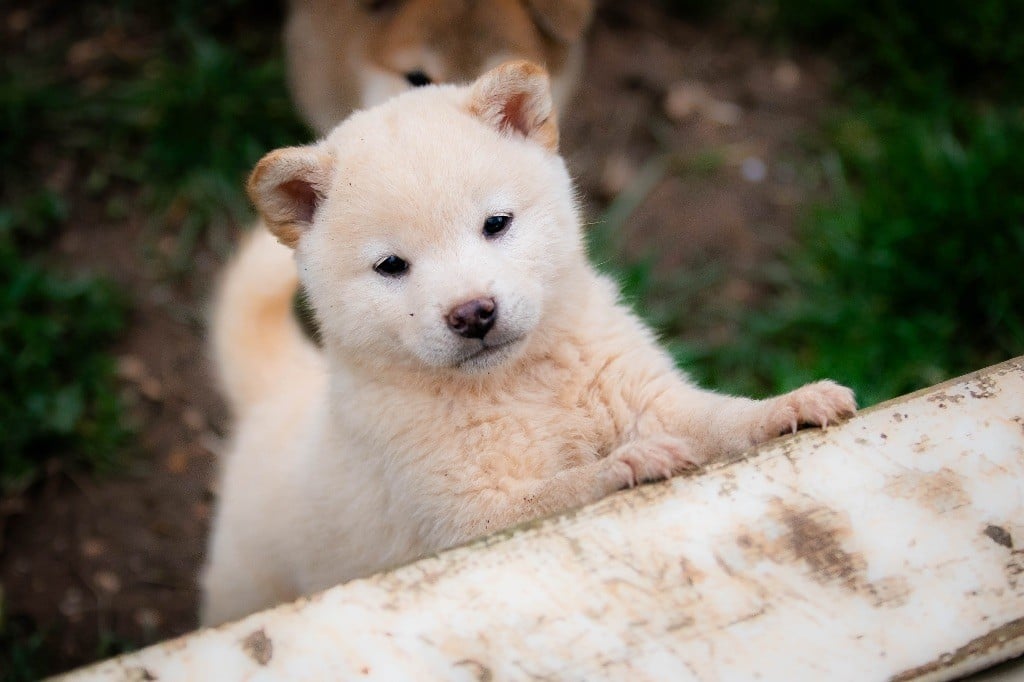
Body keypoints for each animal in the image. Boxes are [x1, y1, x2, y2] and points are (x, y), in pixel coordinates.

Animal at [201, 61, 856, 622]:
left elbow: (722, 419)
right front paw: (627, 464)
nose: (472, 313)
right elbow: (561, 490)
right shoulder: (465, 520)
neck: (524, 382)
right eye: (391, 265)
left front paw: (791, 406)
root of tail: (272, 394)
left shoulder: (650, 398)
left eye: (496, 223)